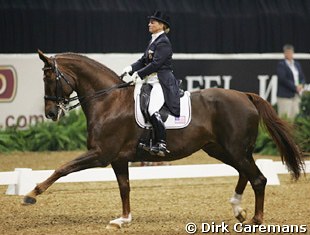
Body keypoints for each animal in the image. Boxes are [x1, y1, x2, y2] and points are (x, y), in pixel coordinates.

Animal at [23, 51, 304, 228]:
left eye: (49, 77)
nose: (51, 113)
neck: (108, 101)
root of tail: (246, 95)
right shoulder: (118, 159)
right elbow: (124, 188)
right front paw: (123, 219)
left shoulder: (102, 154)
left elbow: (63, 168)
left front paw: (31, 194)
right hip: (220, 149)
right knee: (245, 173)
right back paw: (238, 209)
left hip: (234, 149)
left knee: (258, 178)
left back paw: (256, 218)